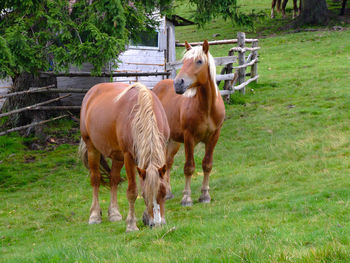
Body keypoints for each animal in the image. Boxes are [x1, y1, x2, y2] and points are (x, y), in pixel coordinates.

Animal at [78, 82, 169, 233]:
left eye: (164, 193)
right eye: (144, 195)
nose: (156, 224)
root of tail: (92, 91)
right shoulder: (129, 157)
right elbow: (132, 192)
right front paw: (131, 224)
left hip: (118, 157)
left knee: (113, 179)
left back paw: (114, 213)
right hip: (92, 149)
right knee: (95, 179)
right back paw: (95, 215)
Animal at [152, 40, 224, 207]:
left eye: (199, 61)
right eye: (184, 61)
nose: (178, 83)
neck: (207, 108)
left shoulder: (213, 137)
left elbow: (207, 165)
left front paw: (205, 195)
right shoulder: (189, 138)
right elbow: (189, 167)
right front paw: (186, 198)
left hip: (173, 141)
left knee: (168, 162)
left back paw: (168, 193)